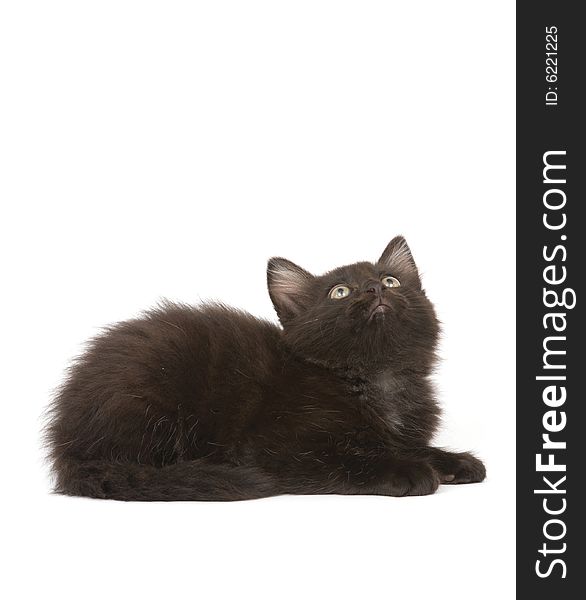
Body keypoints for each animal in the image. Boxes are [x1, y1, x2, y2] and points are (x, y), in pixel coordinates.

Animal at [44, 237, 484, 500]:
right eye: (340, 292)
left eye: (391, 281)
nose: (375, 289)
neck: (376, 376)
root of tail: (66, 443)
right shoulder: (271, 449)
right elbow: (349, 460)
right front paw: (410, 470)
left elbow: (406, 442)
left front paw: (453, 461)